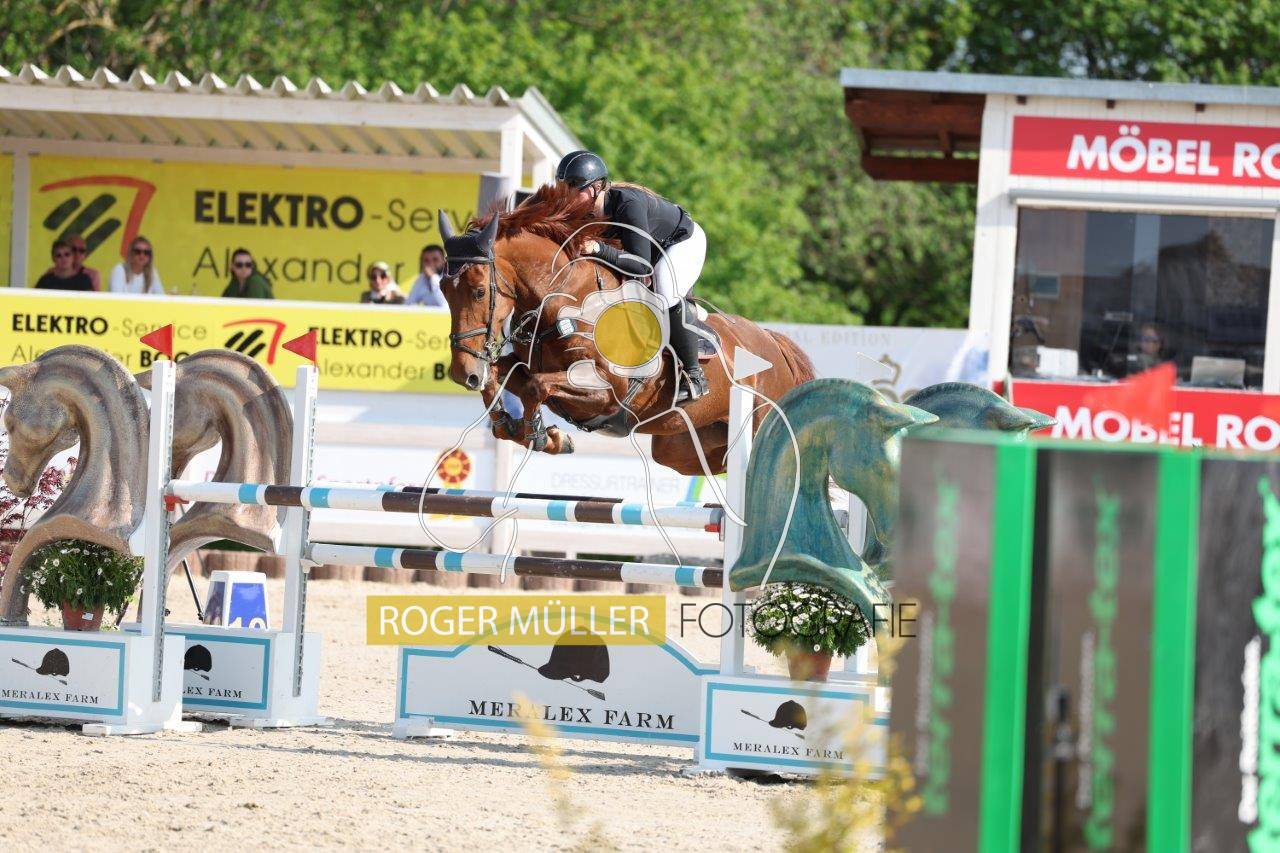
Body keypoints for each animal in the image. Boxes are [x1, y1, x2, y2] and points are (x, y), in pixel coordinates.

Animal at [436, 182, 815, 476]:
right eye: (442, 289)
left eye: (479, 291)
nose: (462, 373)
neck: (566, 302)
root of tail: (774, 343)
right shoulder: (529, 368)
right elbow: (500, 379)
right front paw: (523, 429)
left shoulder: (606, 391)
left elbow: (536, 387)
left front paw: (541, 435)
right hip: (683, 446)